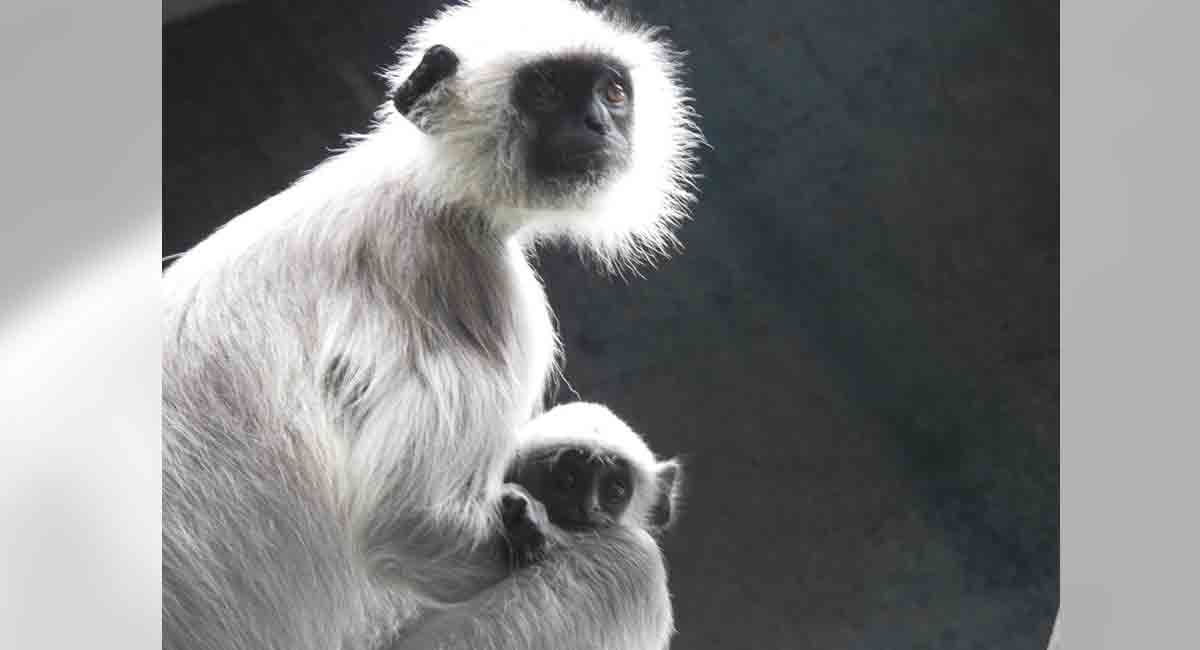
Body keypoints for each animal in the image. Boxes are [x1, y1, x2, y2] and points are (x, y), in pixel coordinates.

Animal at [162, 1, 702, 650]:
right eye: (546, 90)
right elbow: (411, 527)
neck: (421, 178)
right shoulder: (454, 272)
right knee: (627, 562)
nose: (599, 124)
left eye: (613, 92)